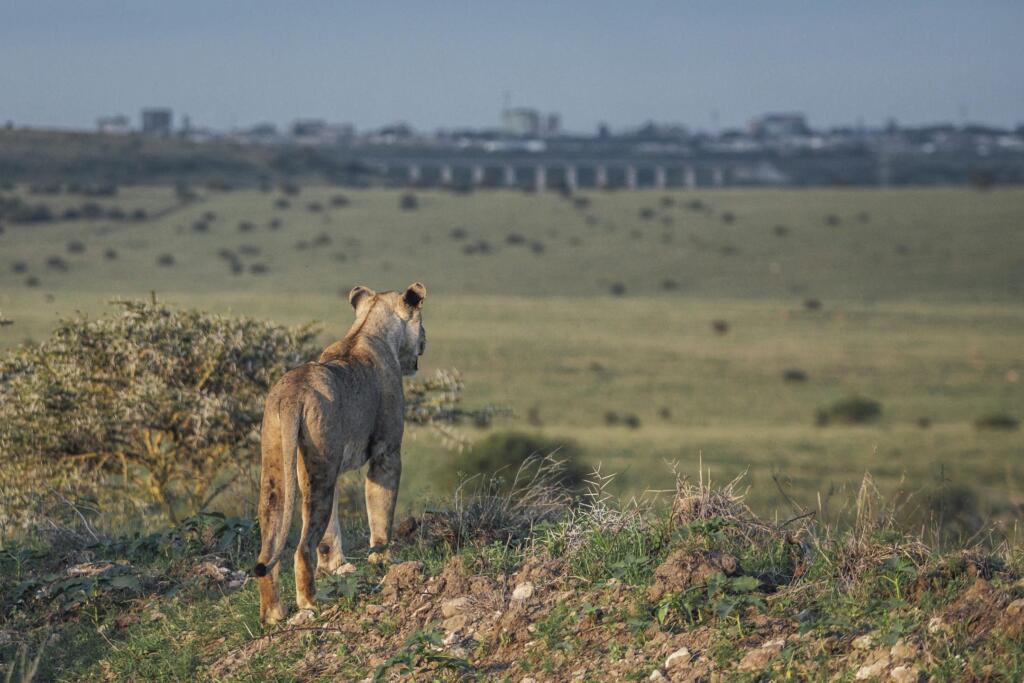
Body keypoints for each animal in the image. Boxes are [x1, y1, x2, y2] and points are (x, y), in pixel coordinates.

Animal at [253, 282, 427, 624]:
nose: (425, 339)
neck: (367, 329)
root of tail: (293, 393)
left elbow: (331, 530)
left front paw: (335, 566)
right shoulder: (386, 453)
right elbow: (381, 511)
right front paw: (382, 559)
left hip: (281, 465)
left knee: (271, 543)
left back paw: (274, 613)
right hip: (320, 467)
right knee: (302, 547)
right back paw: (309, 603)